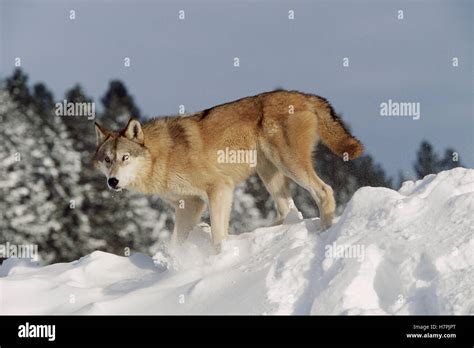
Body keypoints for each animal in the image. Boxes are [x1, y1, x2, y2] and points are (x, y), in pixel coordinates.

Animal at [94, 89, 364, 250]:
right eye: (107, 160)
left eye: (125, 157)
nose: (112, 182)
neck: (162, 156)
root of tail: (303, 94)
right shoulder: (189, 205)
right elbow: (178, 242)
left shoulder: (219, 188)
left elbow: (217, 235)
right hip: (270, 173)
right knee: (289, 211)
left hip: (289, 165)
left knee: (324, 191)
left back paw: (325, 232)